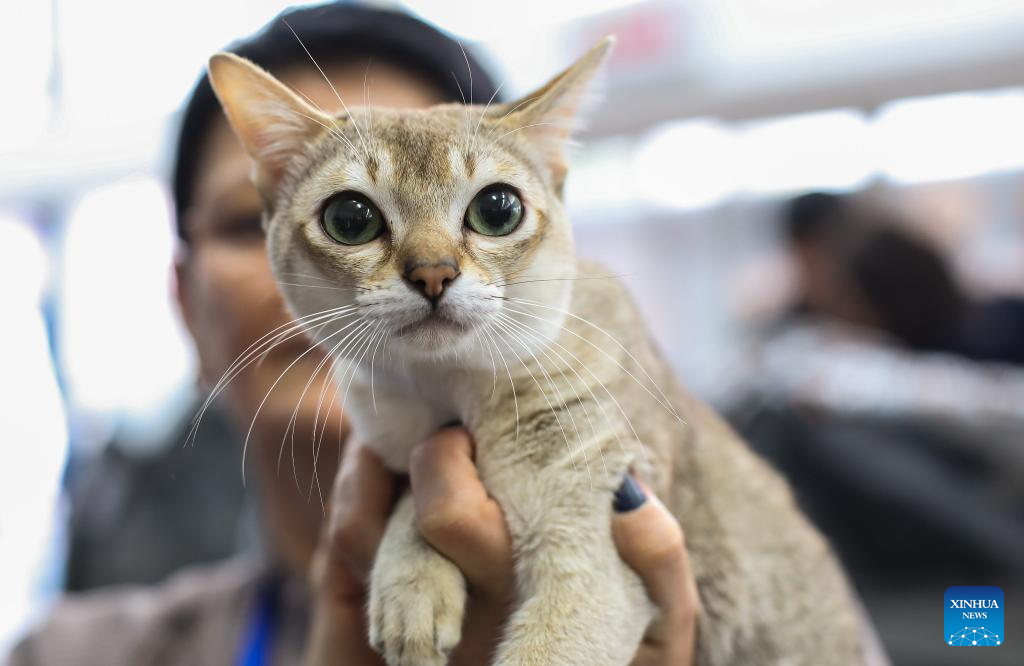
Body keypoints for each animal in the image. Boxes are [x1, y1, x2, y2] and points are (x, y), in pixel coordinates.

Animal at [205, 38, 864, 659]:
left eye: (497, 209)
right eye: (350, 217)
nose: (433, 274)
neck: (456, 394)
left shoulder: (598, 549)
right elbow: (409, 484)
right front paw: (410, 580)